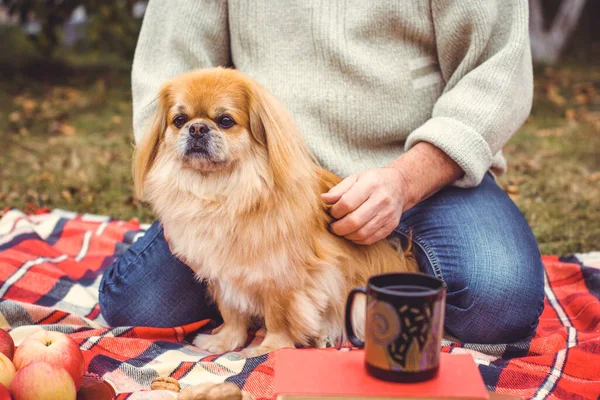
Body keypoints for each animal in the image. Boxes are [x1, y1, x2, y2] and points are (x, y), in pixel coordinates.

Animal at [133, 68, 414, 356]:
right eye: (179, 120)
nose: (197, 128)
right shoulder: (222, 271)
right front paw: (224, 342)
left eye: (225, 121)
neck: (221, 192)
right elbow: (231, 313)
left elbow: (279, 317)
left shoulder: (282, 276)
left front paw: (269, 348)